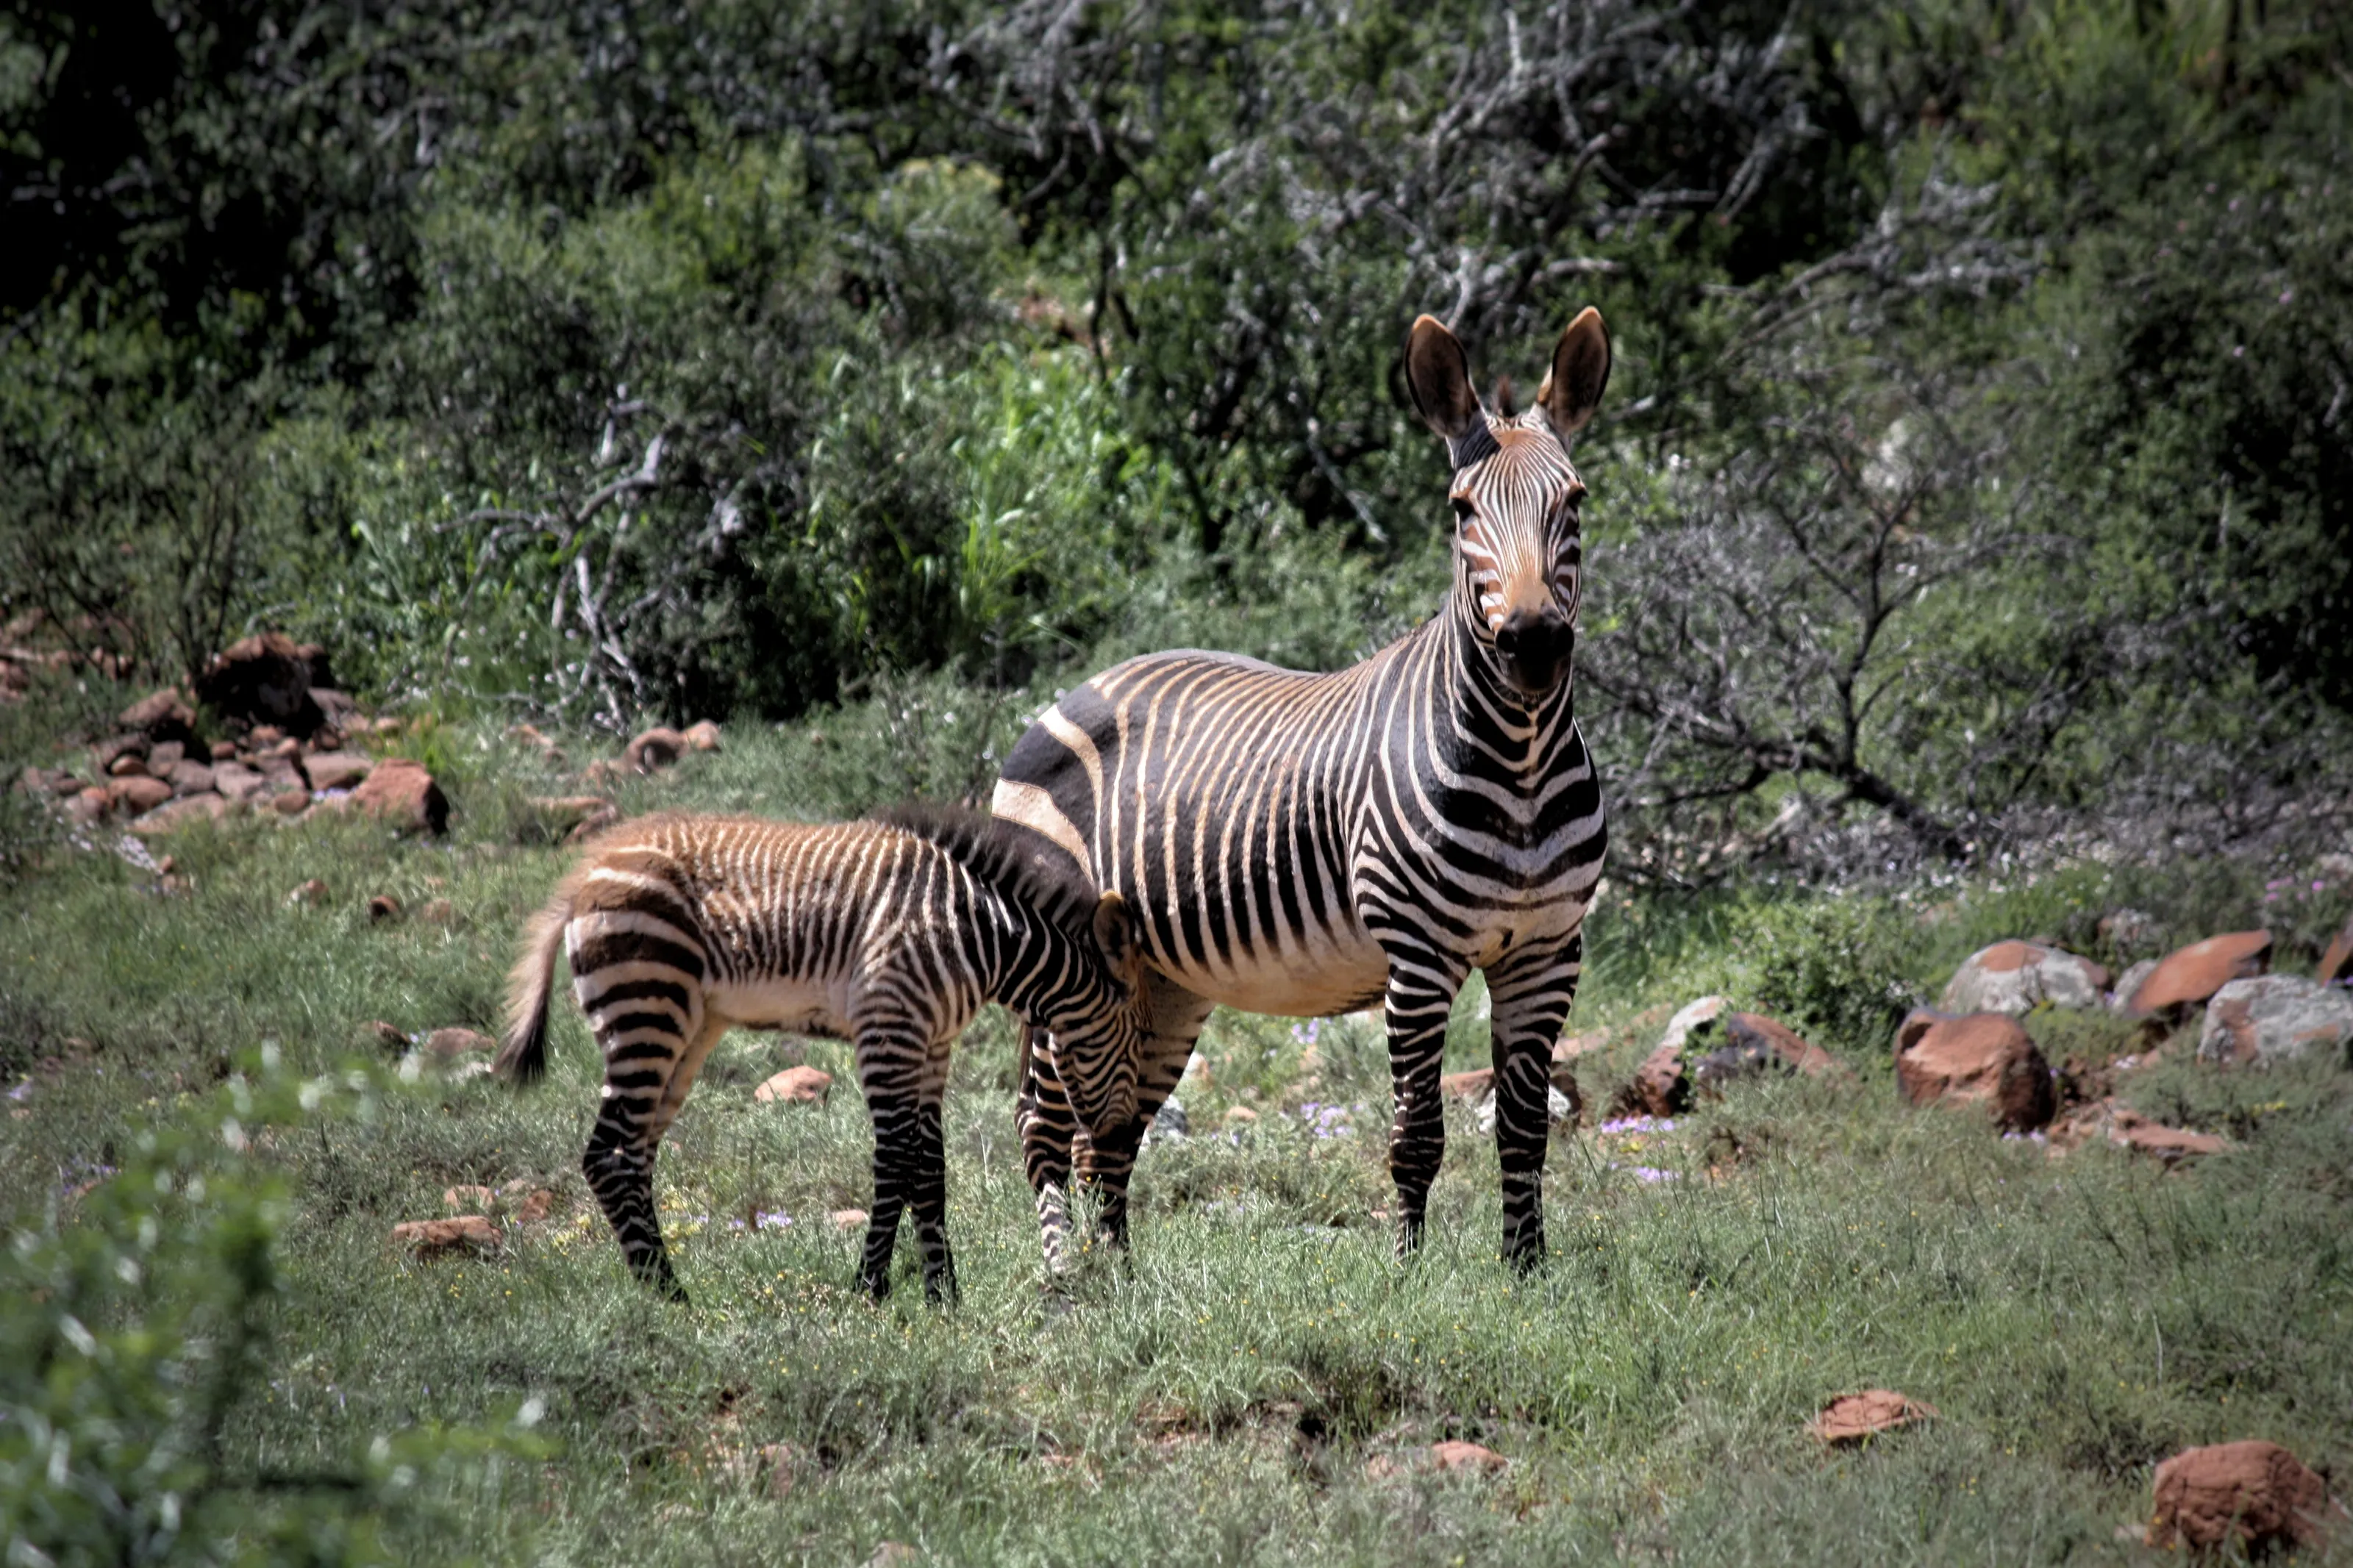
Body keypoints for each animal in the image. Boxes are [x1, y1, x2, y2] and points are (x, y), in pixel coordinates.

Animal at [497, 805, 1149, 1304]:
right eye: (1138, 1040)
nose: (1116, 1137)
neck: (975, 935)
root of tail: (583, 878)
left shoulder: (933, 1044)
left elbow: (930, 1166)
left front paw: (944, 1294)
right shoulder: (889, 1028)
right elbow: (896, 1160)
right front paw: (871, 1287)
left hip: (684, 1029)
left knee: (633, 1154)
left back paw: (664, 1287)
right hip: (646, 1006)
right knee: (608, 1154)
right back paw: (668, 1293)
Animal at [993, 307, 1611, 1273]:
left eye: (1573, 502)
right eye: (1461, 511)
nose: (1534, 645)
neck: (1517, 759)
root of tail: (1076, 688)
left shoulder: (1546, 952)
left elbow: (1522, 1128)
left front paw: (1525, 1273)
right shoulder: (1417, 955)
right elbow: (1417, 1135)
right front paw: (1407, 1273)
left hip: (1157, 981)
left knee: (1112, 1129)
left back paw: (1120, 1277)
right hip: (1060, 963)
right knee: (1041, 1121)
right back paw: (1063, 1272)